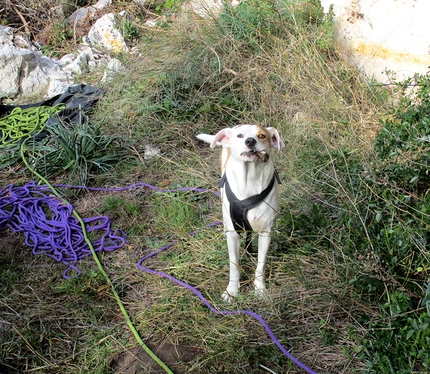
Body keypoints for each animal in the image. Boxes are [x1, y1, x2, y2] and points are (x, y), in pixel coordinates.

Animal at [197, 124, 284, 302]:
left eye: (262, 135)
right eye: (240, 135)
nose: (250, 141)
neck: (249, 179)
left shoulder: (266, 233)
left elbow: (260, 265)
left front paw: (260, 288)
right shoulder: (232, 234)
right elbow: (234, 265)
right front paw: (232, 290)